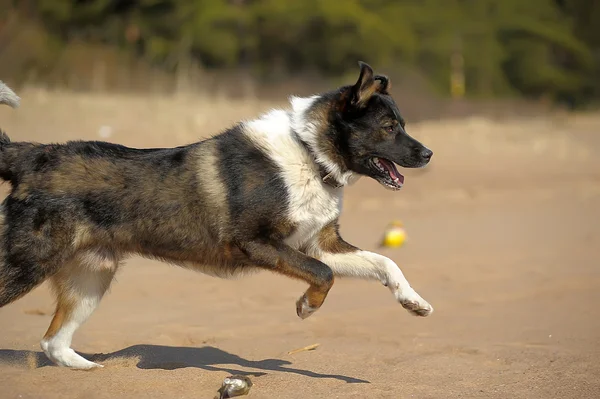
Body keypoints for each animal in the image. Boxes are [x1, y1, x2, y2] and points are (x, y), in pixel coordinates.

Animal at [0, 63, 432, 372]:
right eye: (388, 127)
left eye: (403, 125)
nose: (428, 154)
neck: (308, 153)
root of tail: (33, 155)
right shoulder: (256, 243)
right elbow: (323, 276)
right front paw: (307, 306)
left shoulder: (320, 244)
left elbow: (384, 262)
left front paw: (412, 301)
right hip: (27, 264)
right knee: (48, 336)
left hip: (91, 277)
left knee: (53, 344)